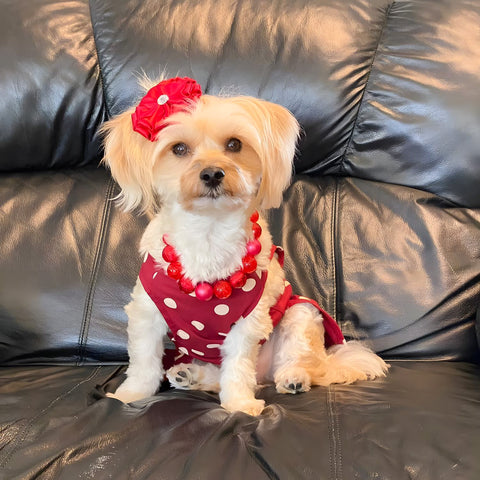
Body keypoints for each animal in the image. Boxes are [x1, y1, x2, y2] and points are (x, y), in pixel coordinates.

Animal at [103, 77, 388, 414]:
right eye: (179, 149)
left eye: (234, 144)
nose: (212, 173)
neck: (208, 235)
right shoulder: (146, 312)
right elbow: (143, 362)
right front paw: (129, 397)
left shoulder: (248, 323)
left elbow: (238, 367)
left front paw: (240, 405)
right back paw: (190, 375)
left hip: (300, 314)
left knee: (297, 363)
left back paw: (293, 379)